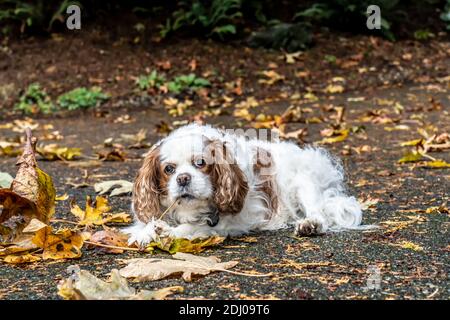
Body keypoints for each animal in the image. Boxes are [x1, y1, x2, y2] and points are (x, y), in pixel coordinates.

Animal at [124, 124, 372, 246]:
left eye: (201, 163)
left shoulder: (229, 222)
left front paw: (168, 232)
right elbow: (148, 224)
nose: (183, 178)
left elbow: (189, 228)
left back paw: (310, 224)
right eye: (169, 169)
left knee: (319, 214)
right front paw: (147, 233)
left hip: (304, 182)